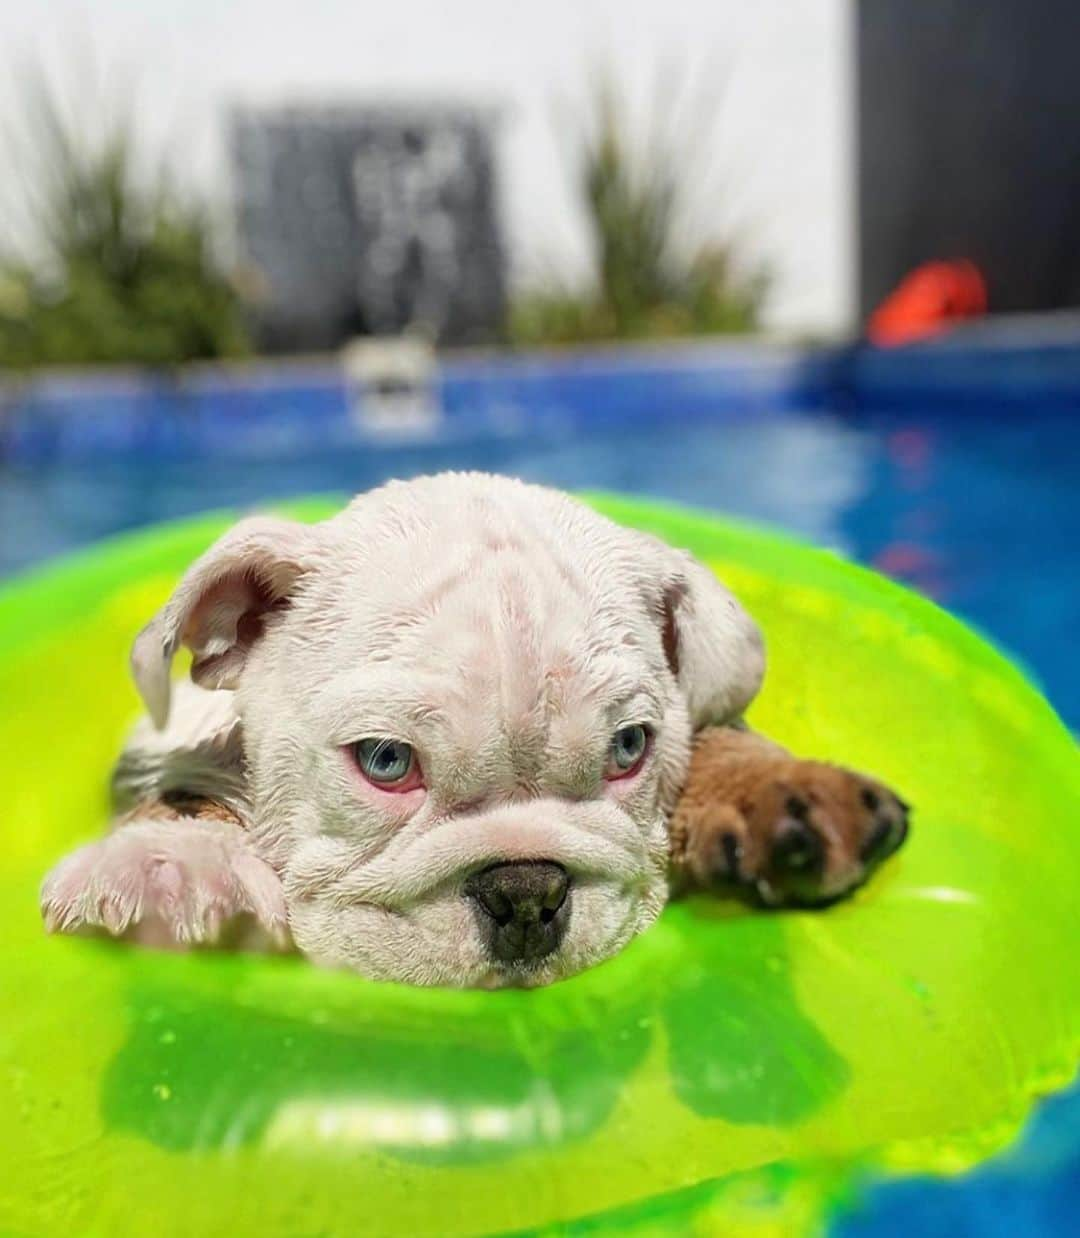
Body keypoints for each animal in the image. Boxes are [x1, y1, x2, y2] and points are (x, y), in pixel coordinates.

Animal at [37, 472, 906, 985]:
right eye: (386, 761)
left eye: (628, 749)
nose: (526, 893)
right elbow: (187, 790)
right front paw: (173, 866)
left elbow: (718, 734)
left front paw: (778, 792)